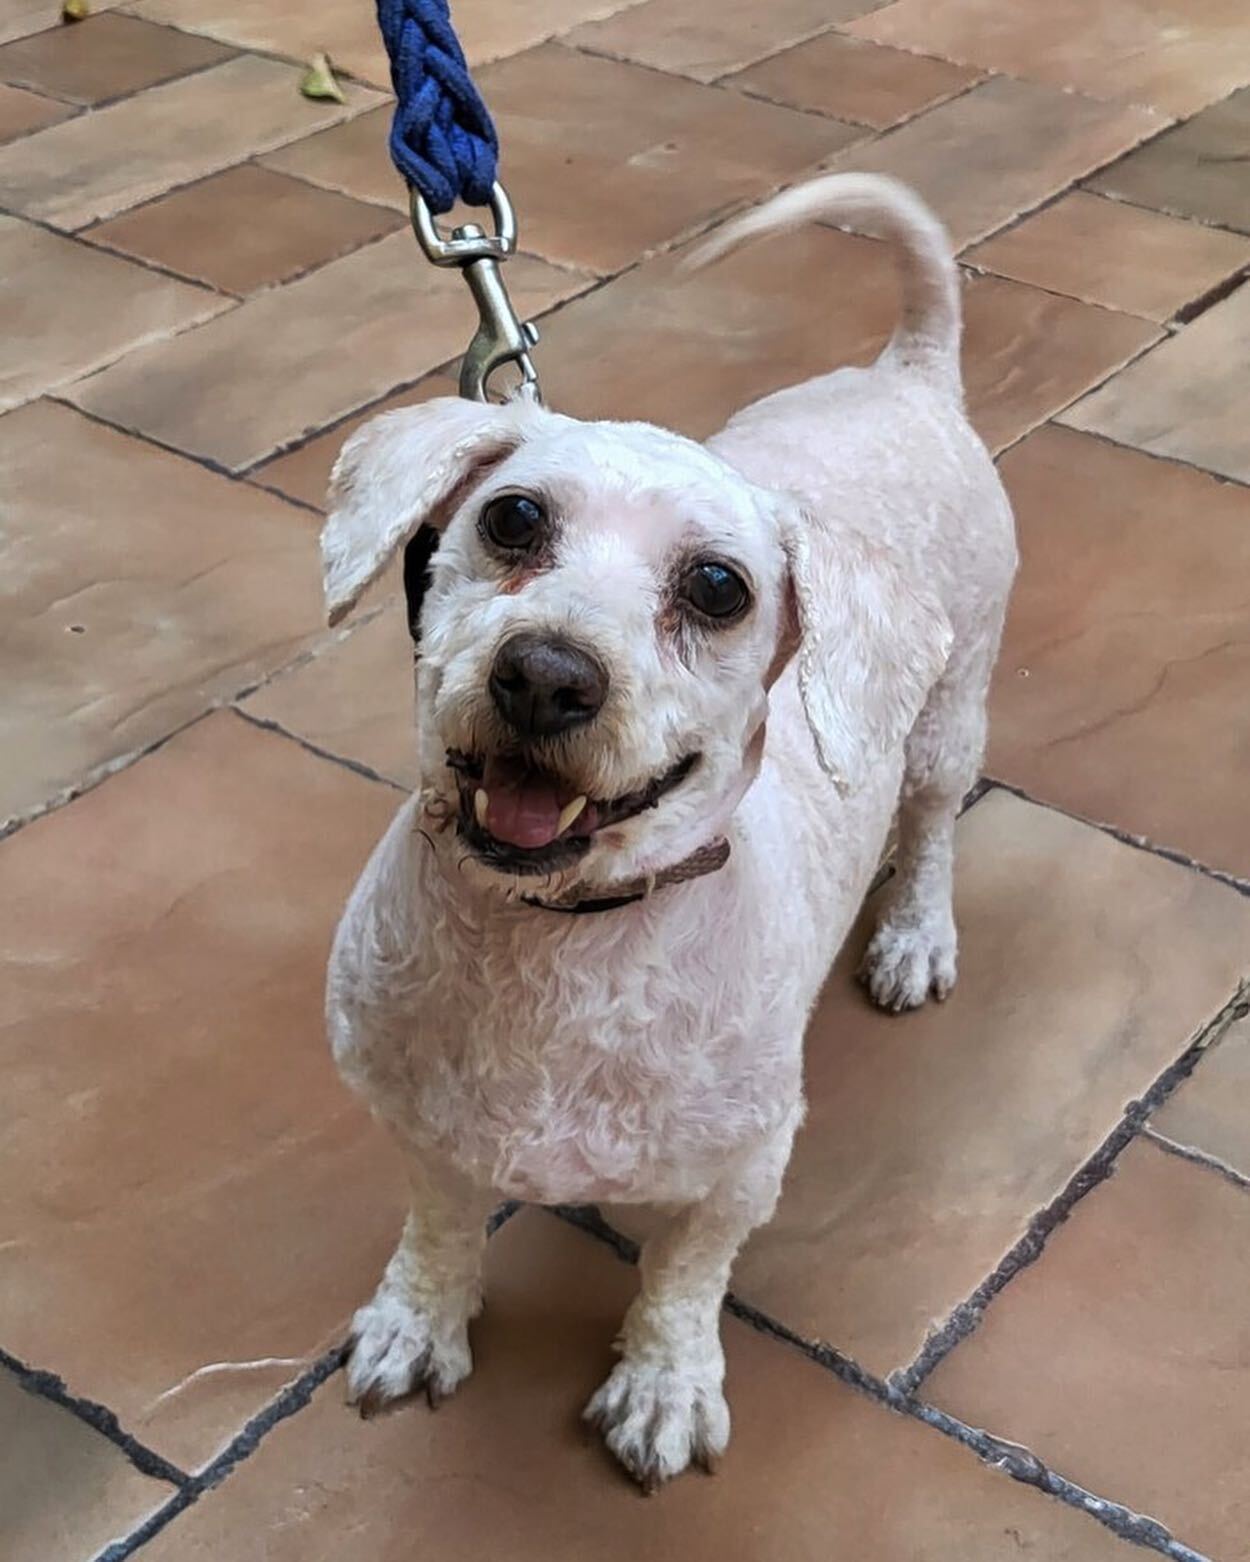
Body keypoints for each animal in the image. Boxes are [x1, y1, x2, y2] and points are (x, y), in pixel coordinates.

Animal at [320, 174, 1012, 1487]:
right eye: (512, 517)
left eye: (717, 588)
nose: (544, 675)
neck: (559, 944)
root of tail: (906, 371)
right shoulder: (416, 1121)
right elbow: (438, 1224)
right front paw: (415, 1319)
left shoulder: (738, 1172)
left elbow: (685, 1277)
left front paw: (664, 1385)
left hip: (948, 721)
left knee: (935, 829)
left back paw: (913, 933)